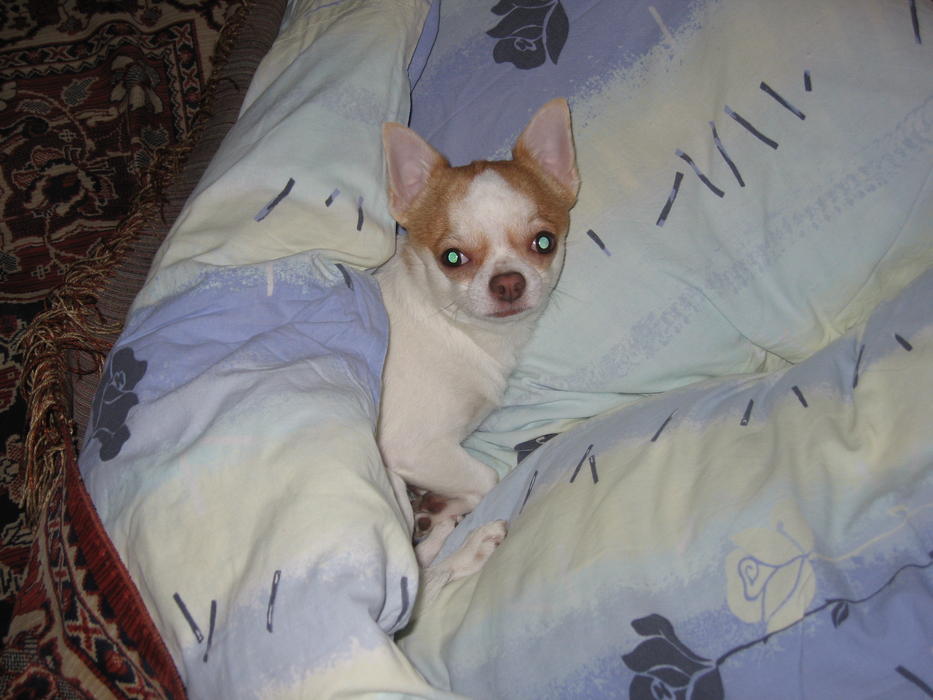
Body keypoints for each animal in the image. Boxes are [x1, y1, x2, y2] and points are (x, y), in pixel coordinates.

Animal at [376, 98, 579, 601]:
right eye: (452, 258)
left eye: (544, 242)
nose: (508, 282)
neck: (458, 330)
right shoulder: (411, 445)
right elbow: (486, 477)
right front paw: (458, 507)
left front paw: (444, 507)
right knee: (417, 581)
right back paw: (470, 544)